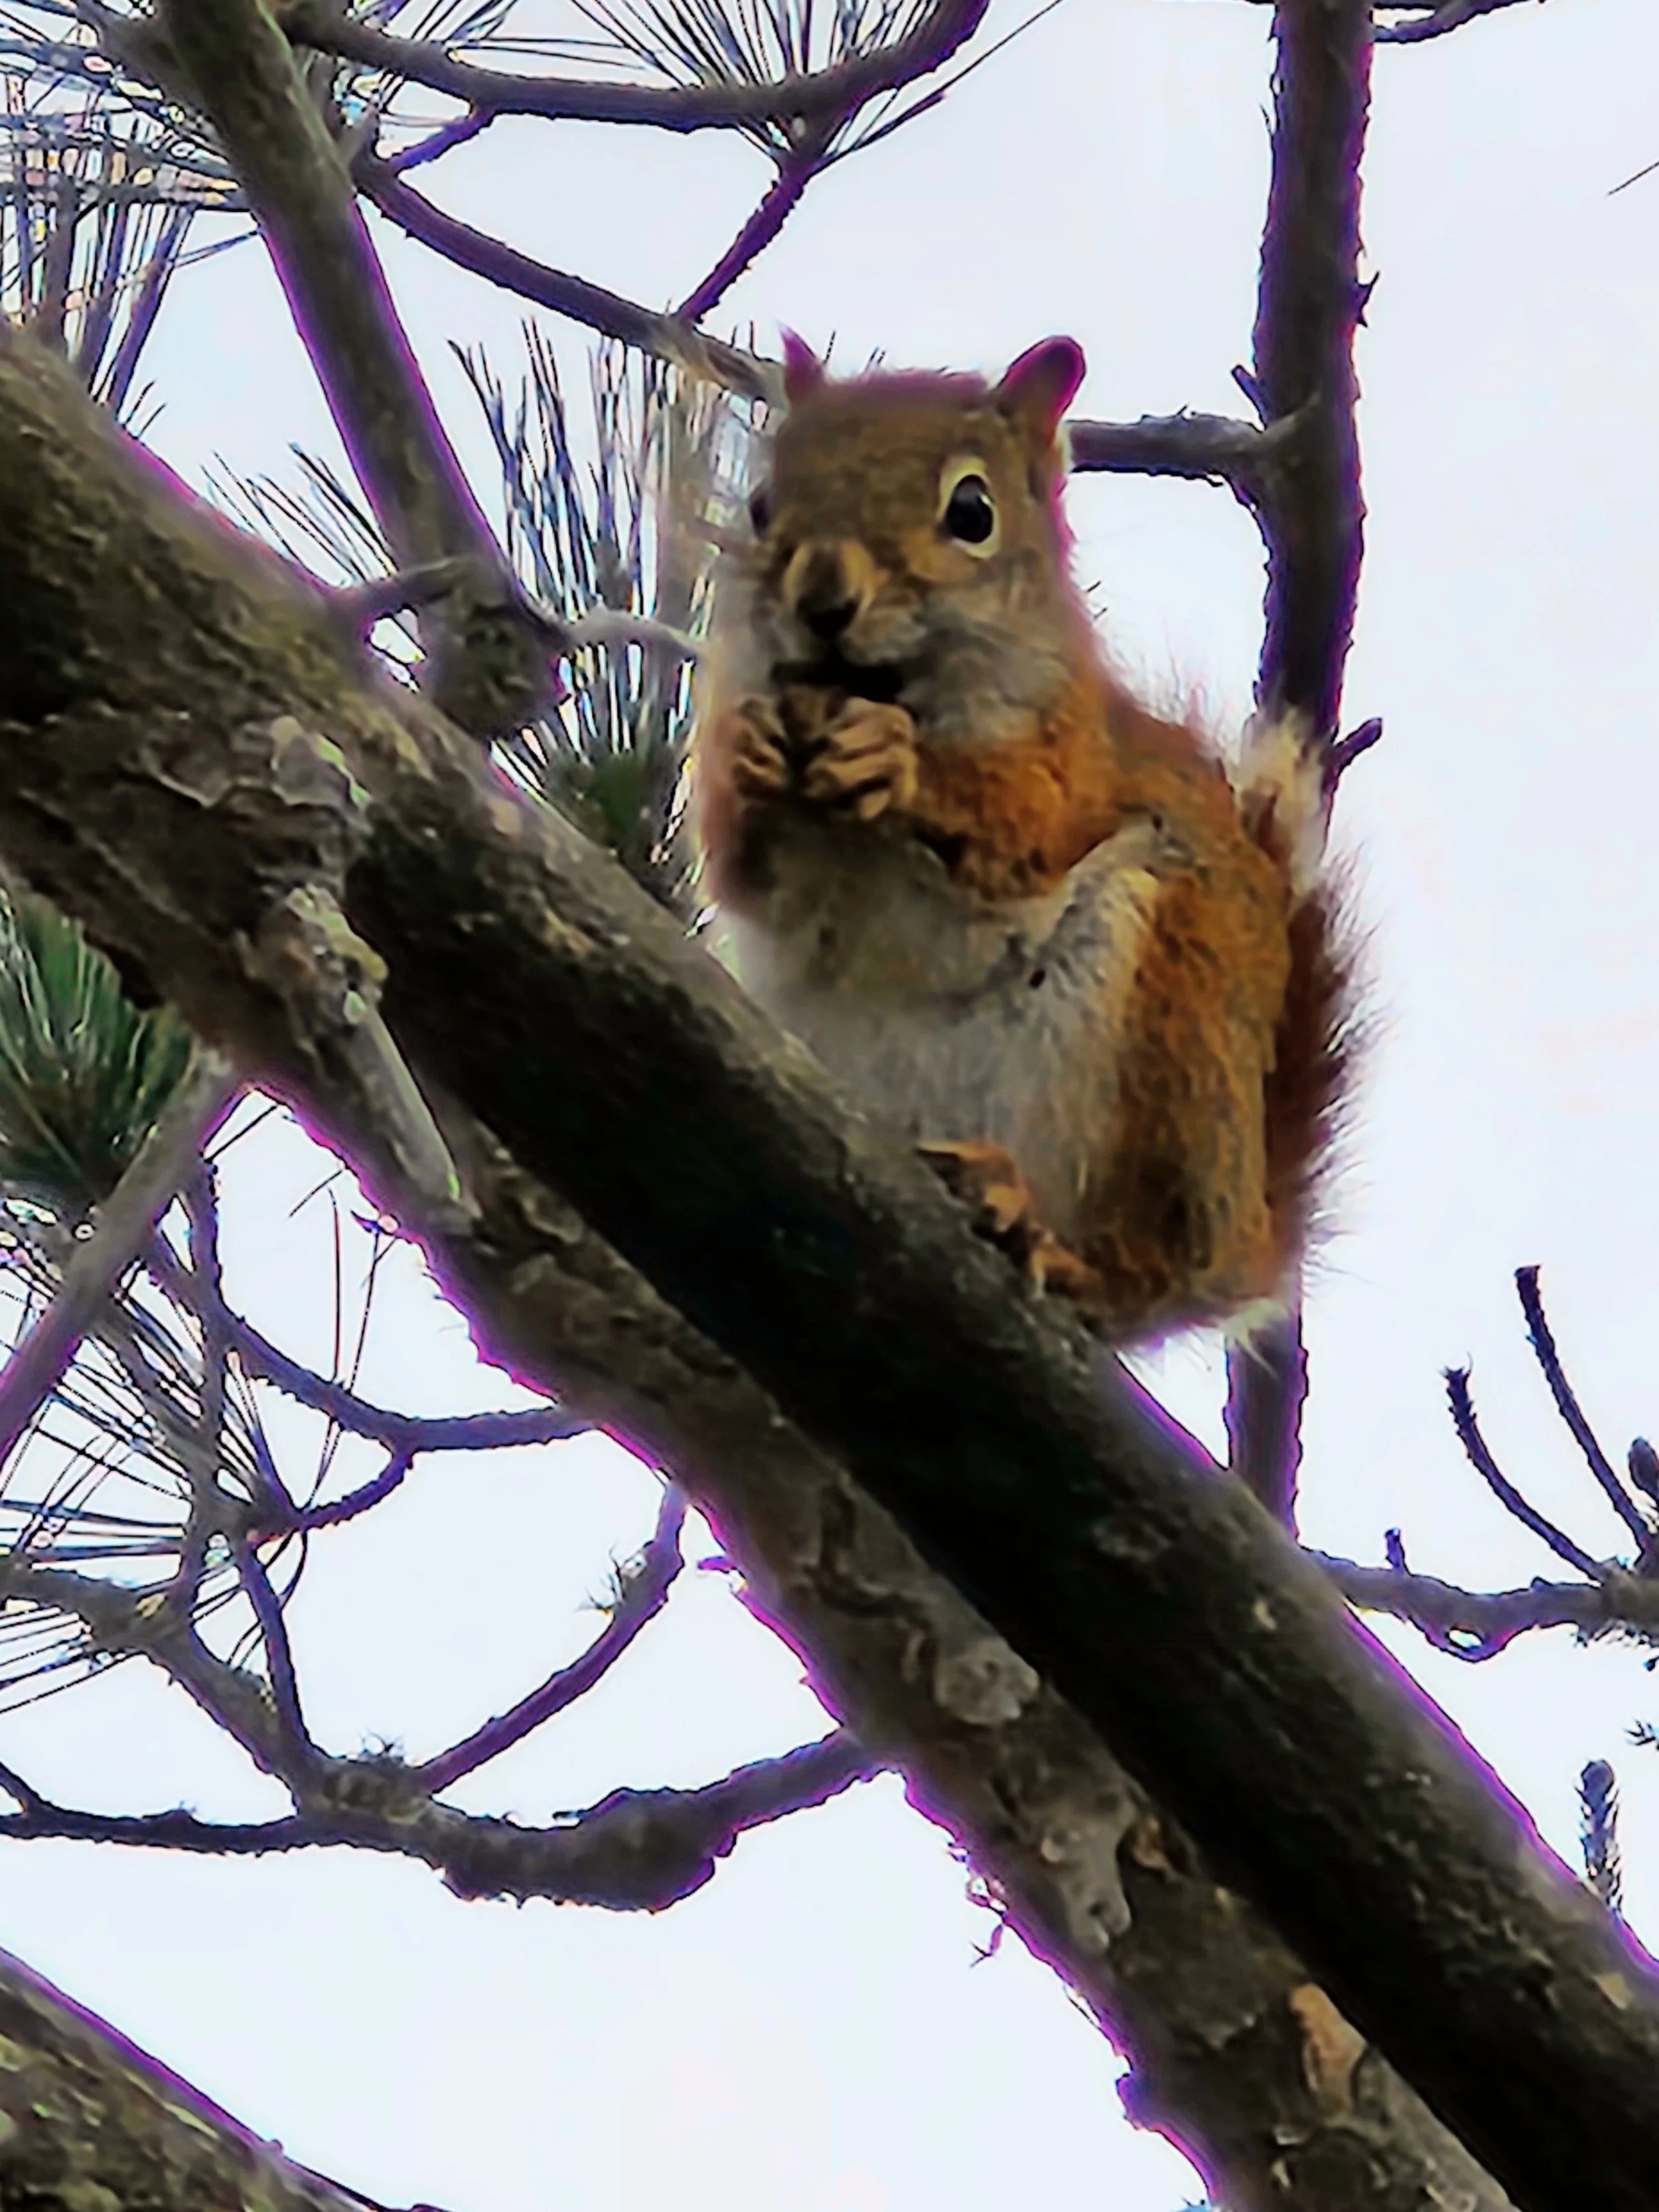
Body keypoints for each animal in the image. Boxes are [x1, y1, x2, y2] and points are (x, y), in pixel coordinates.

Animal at [690, 333, 1355, 1342]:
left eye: (973, 511)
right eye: (763, 503)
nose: (821, 594)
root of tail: (1246, 1241)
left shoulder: (1073, 757)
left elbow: (1024, 822)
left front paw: (897, 760)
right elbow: (735, 862)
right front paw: (748, 756)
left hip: (1165, 1042)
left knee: (1141, 1265)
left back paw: (1043, 1229)